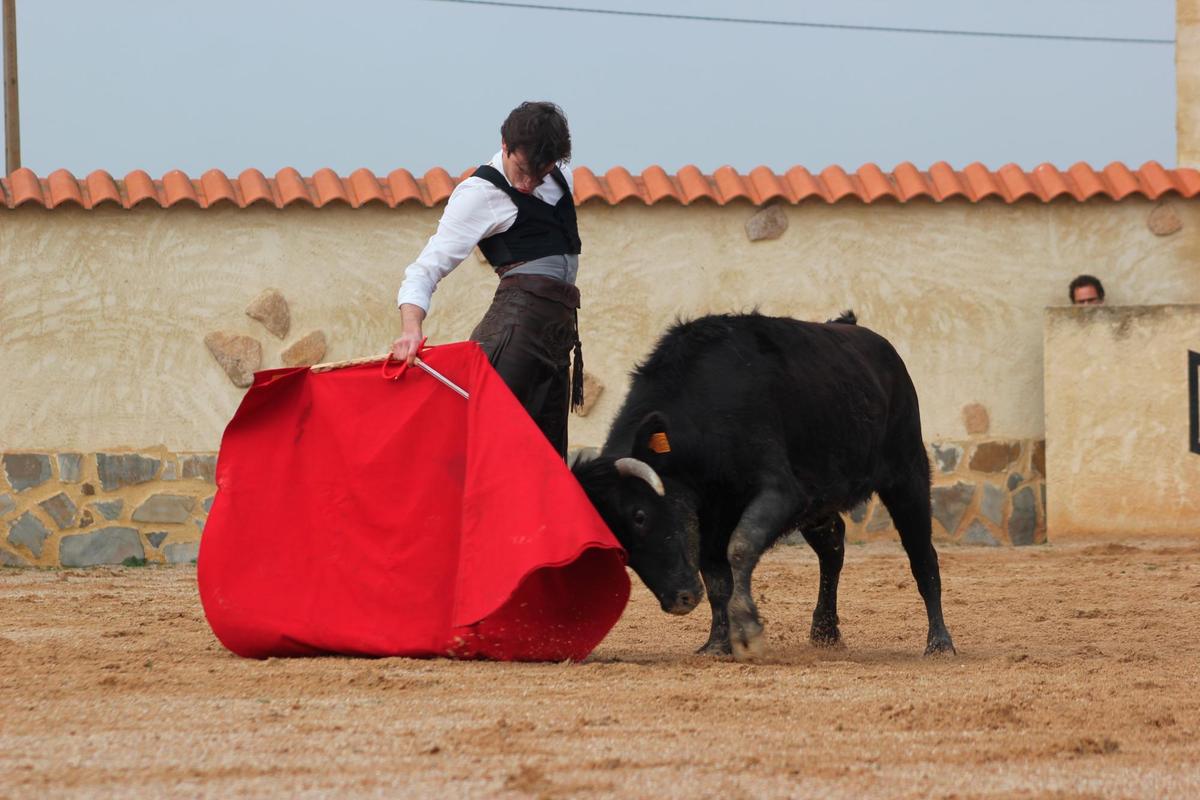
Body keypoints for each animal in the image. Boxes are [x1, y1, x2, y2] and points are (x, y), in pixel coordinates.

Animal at [571, 314, 955, 662]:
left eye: (639, 515)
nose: (678, 601)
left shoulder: (780, 492)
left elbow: (741, 548)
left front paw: (748, 632)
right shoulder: (708, 516)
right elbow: (717, 581)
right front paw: (718, 645)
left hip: (907, 473)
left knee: (922, 556)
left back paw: (939, 643)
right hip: (821, 502)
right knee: (832, 548)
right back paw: (825, 632)